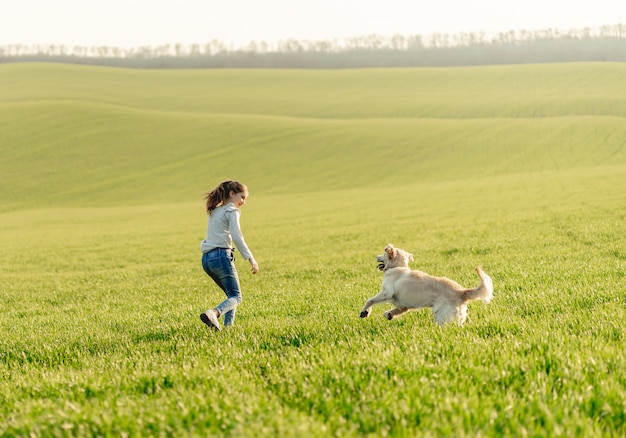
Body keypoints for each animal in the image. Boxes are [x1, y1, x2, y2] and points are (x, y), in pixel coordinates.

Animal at [358, 243, 490, 326]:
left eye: (383, 252)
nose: (376, 256)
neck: (397, 266)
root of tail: (462, 292)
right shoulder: (403, 305)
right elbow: (398, 310)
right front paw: (389, 314)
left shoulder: (386, 292)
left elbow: (370, 300)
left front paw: (365, 312)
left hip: (441, 315)